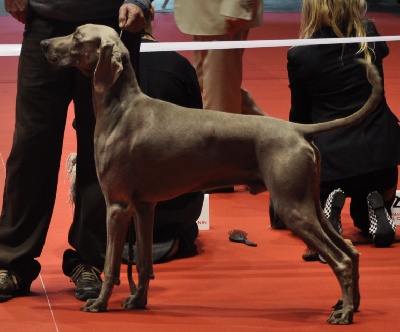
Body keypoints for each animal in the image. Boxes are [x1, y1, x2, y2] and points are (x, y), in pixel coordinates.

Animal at [39, 24, 382, 324]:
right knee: (350, 250)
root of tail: (298, 130)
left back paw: (343, 314)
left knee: (340, 259)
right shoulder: (144, 206)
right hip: (310, 203)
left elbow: (111, 264)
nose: (43, 44)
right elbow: (144, 261)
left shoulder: (118, 206)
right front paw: (138, 300)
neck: (121, 108)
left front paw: (99, 303)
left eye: (77, 37)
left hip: (292, 207)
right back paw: (351, 305)